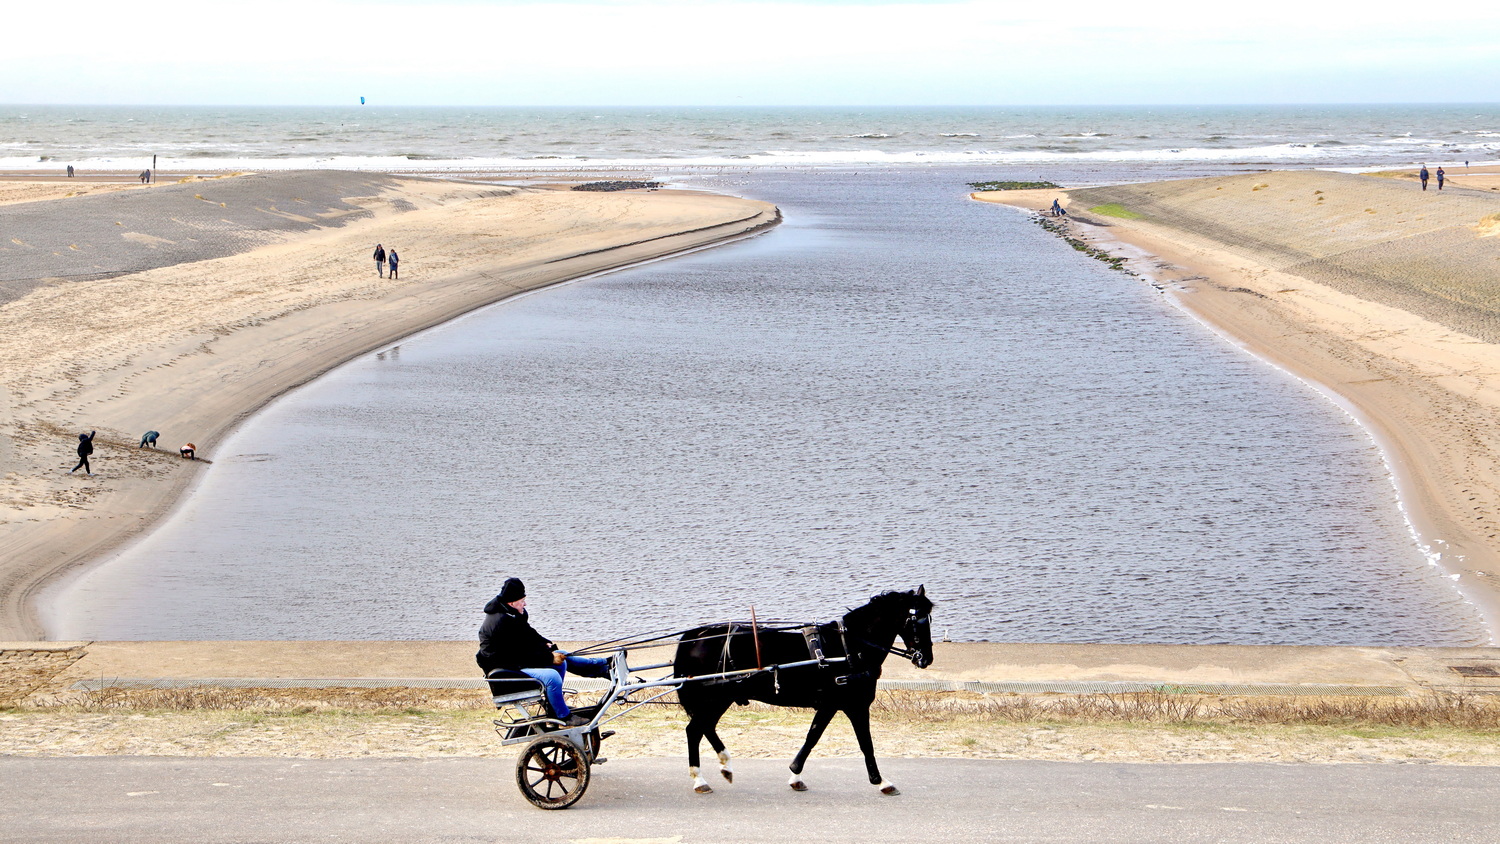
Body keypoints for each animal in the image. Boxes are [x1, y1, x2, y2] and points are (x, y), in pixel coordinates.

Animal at [675, 590, 930, 797]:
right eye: (916, 620)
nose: (926, 658)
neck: (849, 649)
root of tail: (696, 636)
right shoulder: (853, 705)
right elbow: (864, 743)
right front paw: (882, 782)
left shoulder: (831, 705)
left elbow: (812, 737)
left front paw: (795, 775)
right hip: (715, 698)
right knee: (694, 730)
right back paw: (700, 779)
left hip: (720, 699)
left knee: (704, 728)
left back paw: (724, 765)